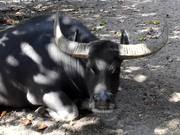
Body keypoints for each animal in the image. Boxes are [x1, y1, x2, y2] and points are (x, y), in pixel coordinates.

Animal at [0, 12, 168, 121]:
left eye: (115, 68)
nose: (102, 101)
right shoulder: (41, 91)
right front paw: (43, 110)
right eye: (90, 67)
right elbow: (70, 112)